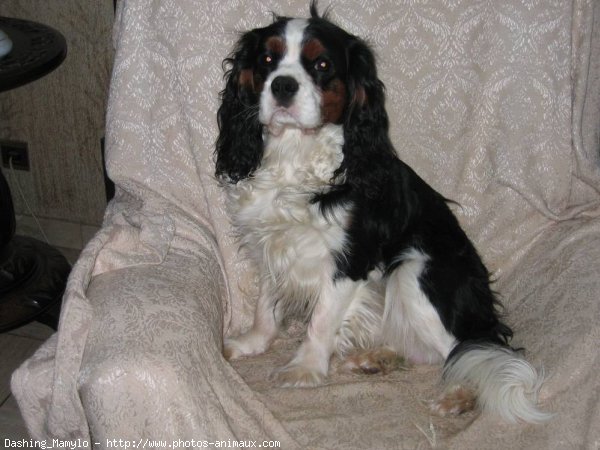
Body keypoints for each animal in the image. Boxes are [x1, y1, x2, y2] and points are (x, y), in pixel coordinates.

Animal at [213, 1, 552, 424]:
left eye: (321, 65)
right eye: (267, 60)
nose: (283, 85)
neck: (294, 155)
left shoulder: (349, 259)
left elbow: (321, 319)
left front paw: (304, 368)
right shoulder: (272, 245)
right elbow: (265, 305)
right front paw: (254, 343)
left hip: (415, 271)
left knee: (469, 350)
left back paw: (459, 395)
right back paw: (376, 360)